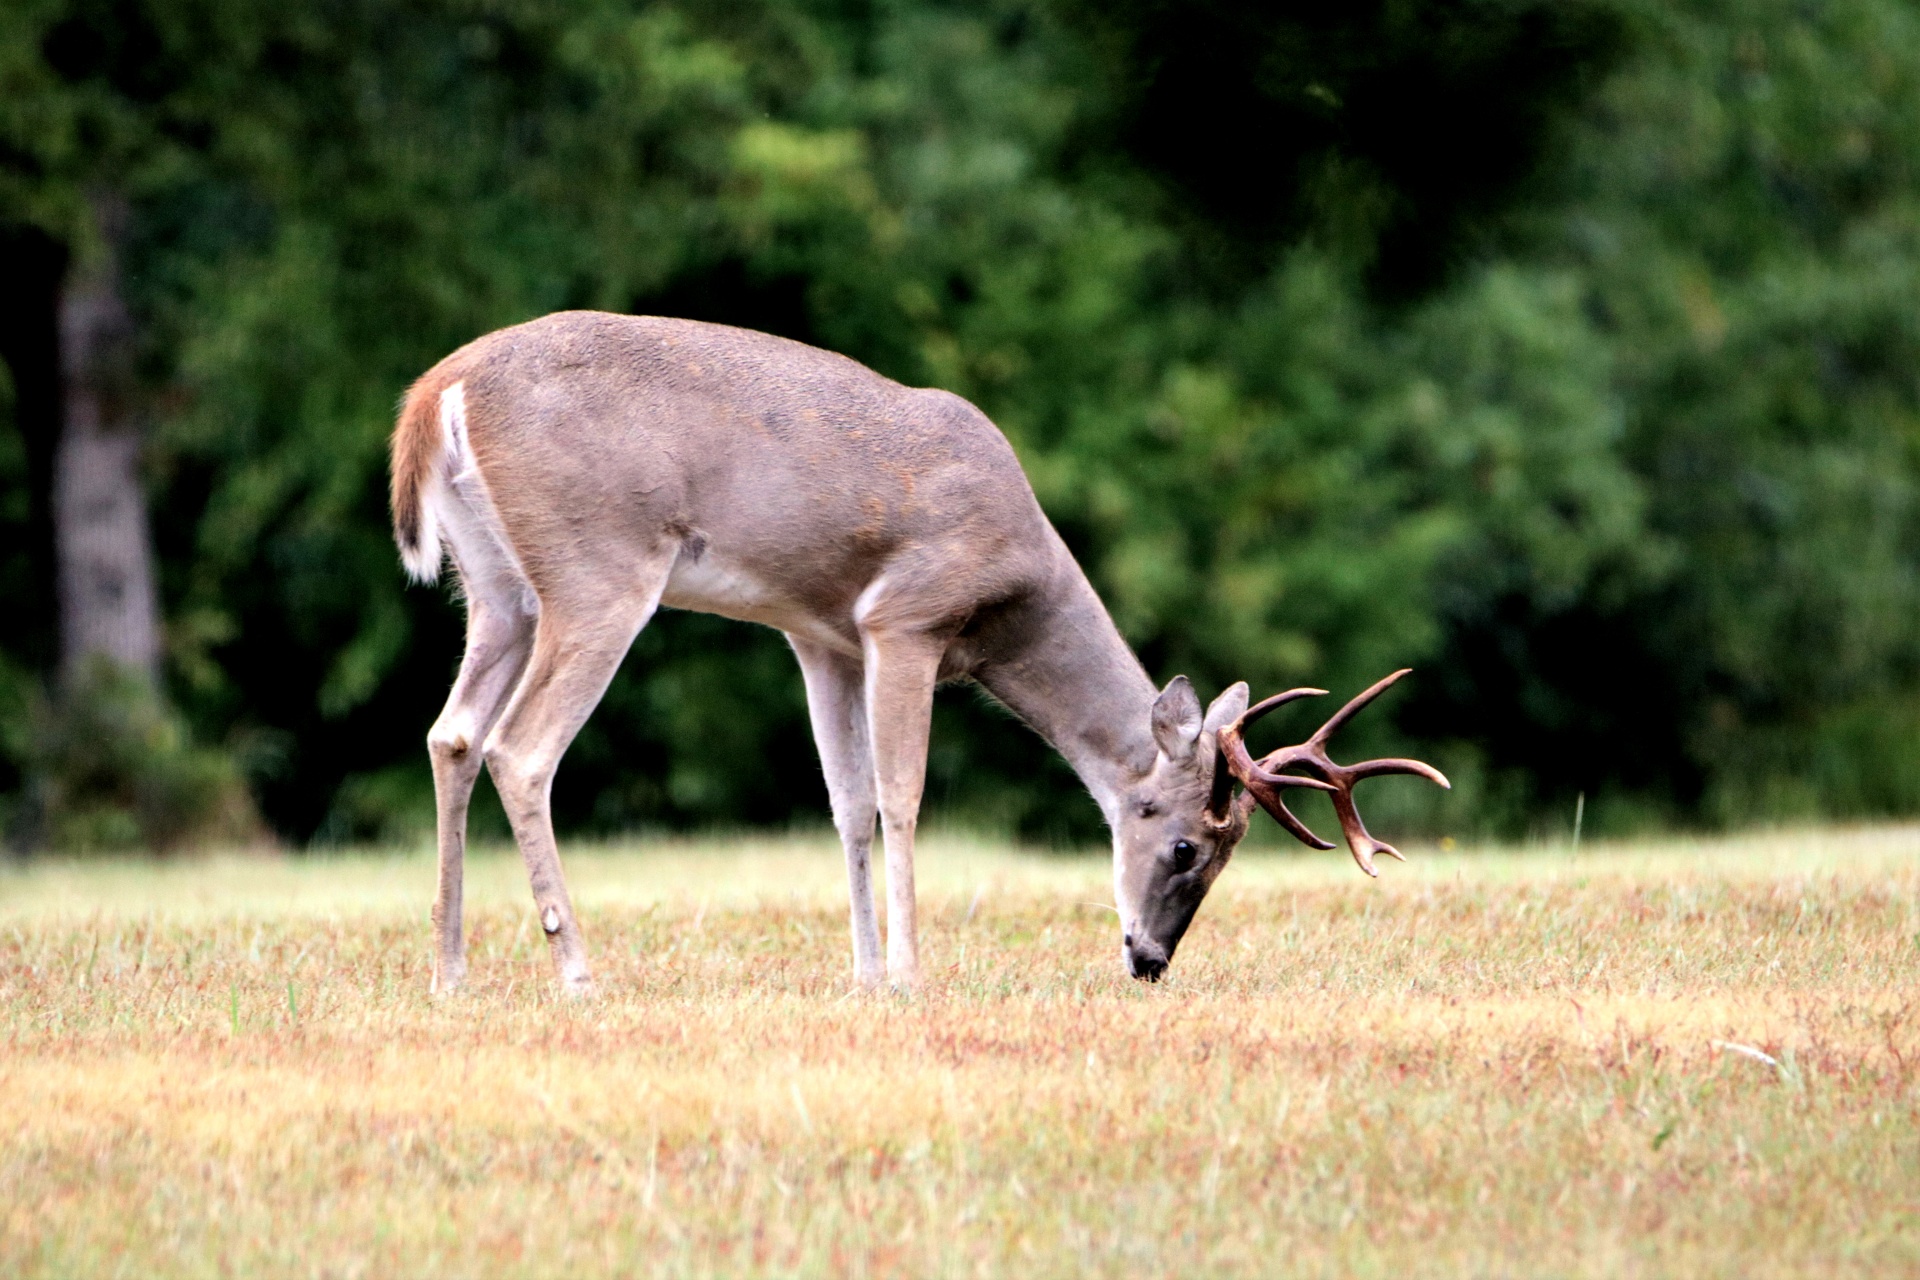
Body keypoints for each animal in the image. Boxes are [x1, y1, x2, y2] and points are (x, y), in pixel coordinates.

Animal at [389, 310, 1443, 990]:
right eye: (1185, 843)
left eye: (1224, 857)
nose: (1148, 962)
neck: (1018, 587)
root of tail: (438, 392)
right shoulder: (907, 620)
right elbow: (902, 796)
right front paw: (905, 972)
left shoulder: (819, 636)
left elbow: (848, 804)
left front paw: (860, 974)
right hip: (599, 567)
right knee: (523, 748)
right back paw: (575, 969)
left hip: (500, 589)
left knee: (452, 734)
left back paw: (449, 970)